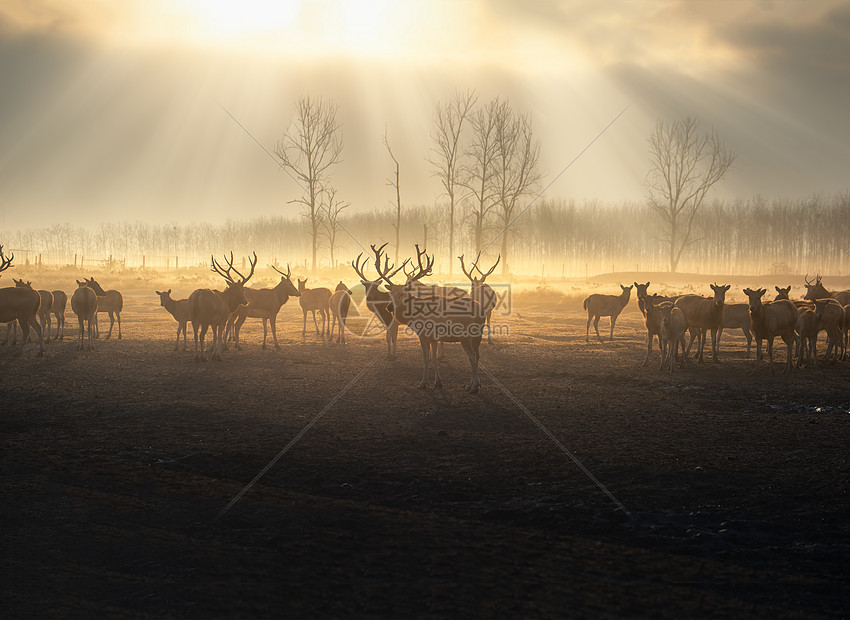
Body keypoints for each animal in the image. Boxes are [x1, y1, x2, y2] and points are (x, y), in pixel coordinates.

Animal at [372, 242, 484, 392]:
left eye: (402, 294)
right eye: (391, 294)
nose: (389, 307)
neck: (414, 318)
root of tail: (481, 311)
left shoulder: (423, 334)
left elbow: (425, 358)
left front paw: (423, 383)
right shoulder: (434, 337)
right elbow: (434, 358)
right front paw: (438, 382)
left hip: (466, 335)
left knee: (472, 357)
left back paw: (475, 386)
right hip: (477, 336)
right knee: (477, 355)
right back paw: (471, 384)